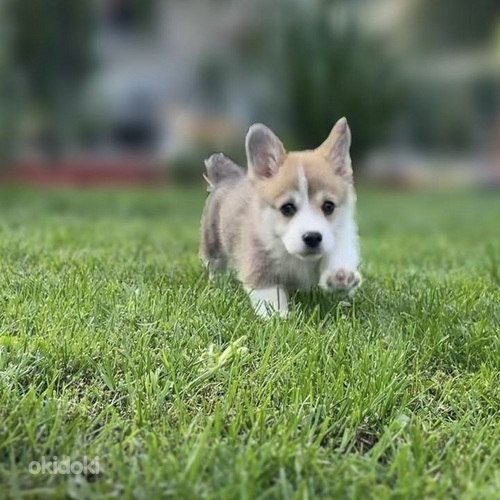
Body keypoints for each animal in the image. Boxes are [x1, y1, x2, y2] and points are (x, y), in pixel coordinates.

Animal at [201, 117, 362, 316]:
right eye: (287, 208)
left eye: (328, 206)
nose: (312, 237)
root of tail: (228, 177)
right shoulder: (259, 261)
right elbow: (270, 295)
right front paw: (280, 317)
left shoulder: (341, 235)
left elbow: (338, 252)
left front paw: (340, 275)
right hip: (212, 243)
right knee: (215, 266)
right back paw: (218, 285)